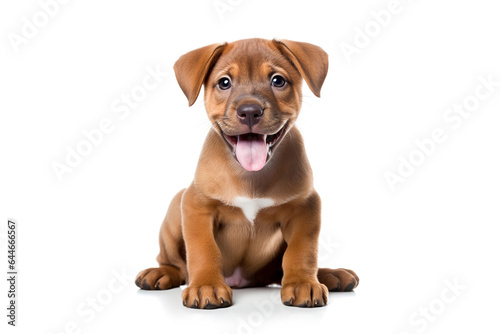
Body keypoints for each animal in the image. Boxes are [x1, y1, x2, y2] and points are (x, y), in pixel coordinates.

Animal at [135, 38, 358, 308]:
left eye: (278, 80)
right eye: (224, 82)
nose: (249, 111)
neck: (251, 174)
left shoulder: (305, 207)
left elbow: (302, 251)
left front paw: (303, 283)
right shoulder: (196, 206)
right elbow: (202, 249)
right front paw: (206, 285)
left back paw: (331, 275)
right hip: (174, 208)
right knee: (177, 265)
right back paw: (161, 273)